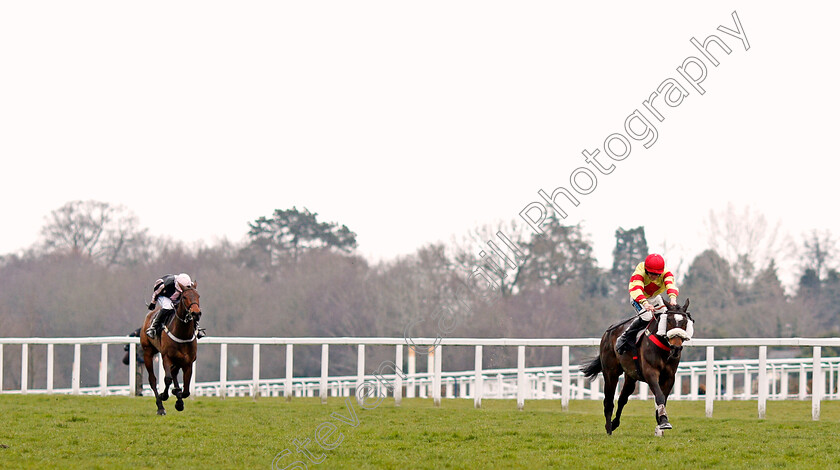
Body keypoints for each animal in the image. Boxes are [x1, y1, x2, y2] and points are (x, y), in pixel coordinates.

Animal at [141, 282, 202, 414]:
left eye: (198, 296)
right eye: (184, 297)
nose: (196, 313)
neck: (182, 334)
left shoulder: (188, 362)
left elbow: (186, 390)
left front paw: (178, 399)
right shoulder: (166, 357)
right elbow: (167, 379)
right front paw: (164, 395)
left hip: (178, 359)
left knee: (174, 372)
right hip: (148, 352)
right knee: (153, 379)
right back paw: (160, 407)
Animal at [580, 300, 692, 436]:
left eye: (684, 322)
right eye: (669, 320)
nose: (676, 348)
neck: (663, 349)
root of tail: (608, 332)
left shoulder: (669, 377)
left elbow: (662, 399)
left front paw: (660, 425)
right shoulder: (650, 373)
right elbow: (659, 396)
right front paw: (664, 421)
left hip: (630, 376)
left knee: (622, 399)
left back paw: (614, 423)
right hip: (610, 372)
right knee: (608, 401)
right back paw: (608, 428)